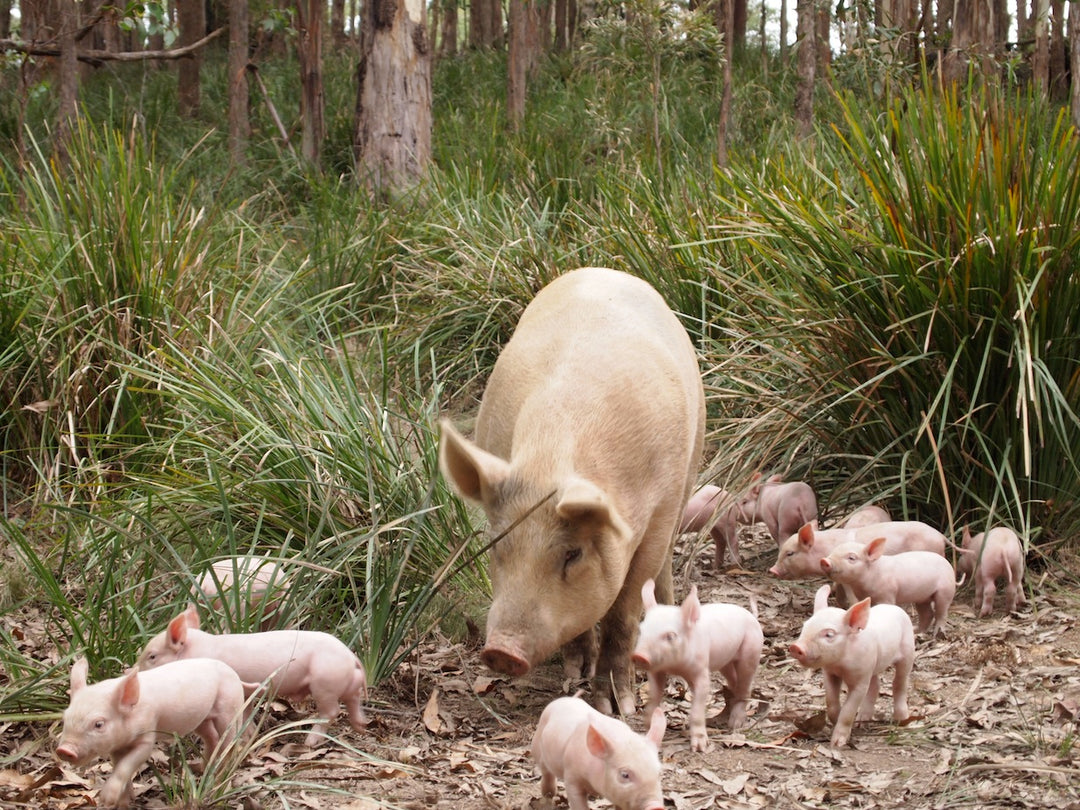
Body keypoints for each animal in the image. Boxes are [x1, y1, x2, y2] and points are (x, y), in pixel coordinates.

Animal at [58, 660, 247, 810]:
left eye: (98, 724)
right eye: (65, 718)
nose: (64, 750)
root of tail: (232, 672)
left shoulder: (147, 733)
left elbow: (128, 764)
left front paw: (106, 800)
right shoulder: (117, 746)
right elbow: (119, 766)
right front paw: (122, 803)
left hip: (231, 708)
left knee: (231, 742)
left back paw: (221, 779)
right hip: (202, 720)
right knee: (211, 737)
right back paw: (204, 768)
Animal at [440, 267, 708, 717]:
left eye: (573, 554)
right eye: (498, 545)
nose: (501, 651)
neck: (550, 462)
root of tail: (603, 269)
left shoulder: (659, 510)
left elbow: (622, 614)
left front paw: (617, 707)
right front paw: (574, 675)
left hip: (693, 458)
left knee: (667, 563)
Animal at [531, 695, 665, 810]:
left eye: (659, 773)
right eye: (625, 775)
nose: (656, 806)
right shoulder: (571, 775)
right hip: (537, 747)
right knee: (546, 771)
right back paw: (549, 795)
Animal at [790, 583, 915, 747]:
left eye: (829, 634)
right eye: (805, 626)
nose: (795, 647)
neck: (841, 665)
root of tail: (895, 608)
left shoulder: (861, 678)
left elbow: (849, 709)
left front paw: (837, 743)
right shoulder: (830, 673)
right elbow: (831, 701)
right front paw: (835, 719)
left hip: (908, 652)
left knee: (900, 683)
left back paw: (901, 720)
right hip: (874, 665)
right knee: (875, 685)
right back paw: (862, 721)